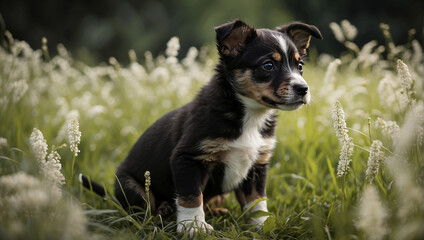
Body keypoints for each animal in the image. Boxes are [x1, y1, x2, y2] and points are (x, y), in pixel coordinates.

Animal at [81, 19, 322, 235]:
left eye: (300, 66)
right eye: (268, 65)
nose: (303, 89)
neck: (249, 115)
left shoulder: (257, 163)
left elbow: (257, 200)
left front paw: (262, 225)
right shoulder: (188, 158)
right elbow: (191, 196)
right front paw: (193, 227)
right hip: (132, 187)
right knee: (143, 209)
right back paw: (163, 212)